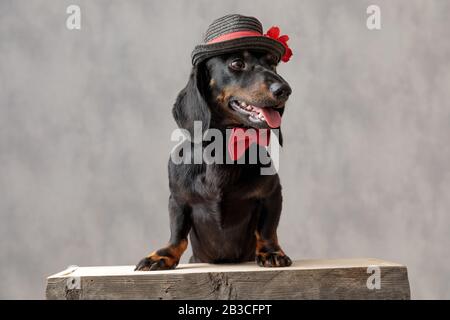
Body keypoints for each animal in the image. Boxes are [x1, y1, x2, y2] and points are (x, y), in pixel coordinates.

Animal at [135, 14, 294, 270]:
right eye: (237, 63)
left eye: (272, 64)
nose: (285, 90)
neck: (225, 147)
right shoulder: (177, 200)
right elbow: (177, 235)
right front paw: (162, 255)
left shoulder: (272, 194)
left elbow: (267, 229)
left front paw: (271, 252)